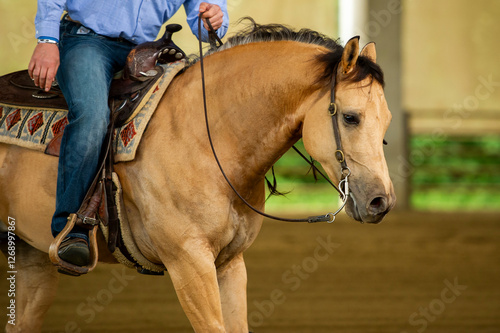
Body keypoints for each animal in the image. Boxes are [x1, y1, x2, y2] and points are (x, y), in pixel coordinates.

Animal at [1, 21, 396, 332]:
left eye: (387, 121)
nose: (382, 202)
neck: (207, 140)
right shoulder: (189, 263)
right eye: (350, 117)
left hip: (32, 256)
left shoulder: (229, 264)